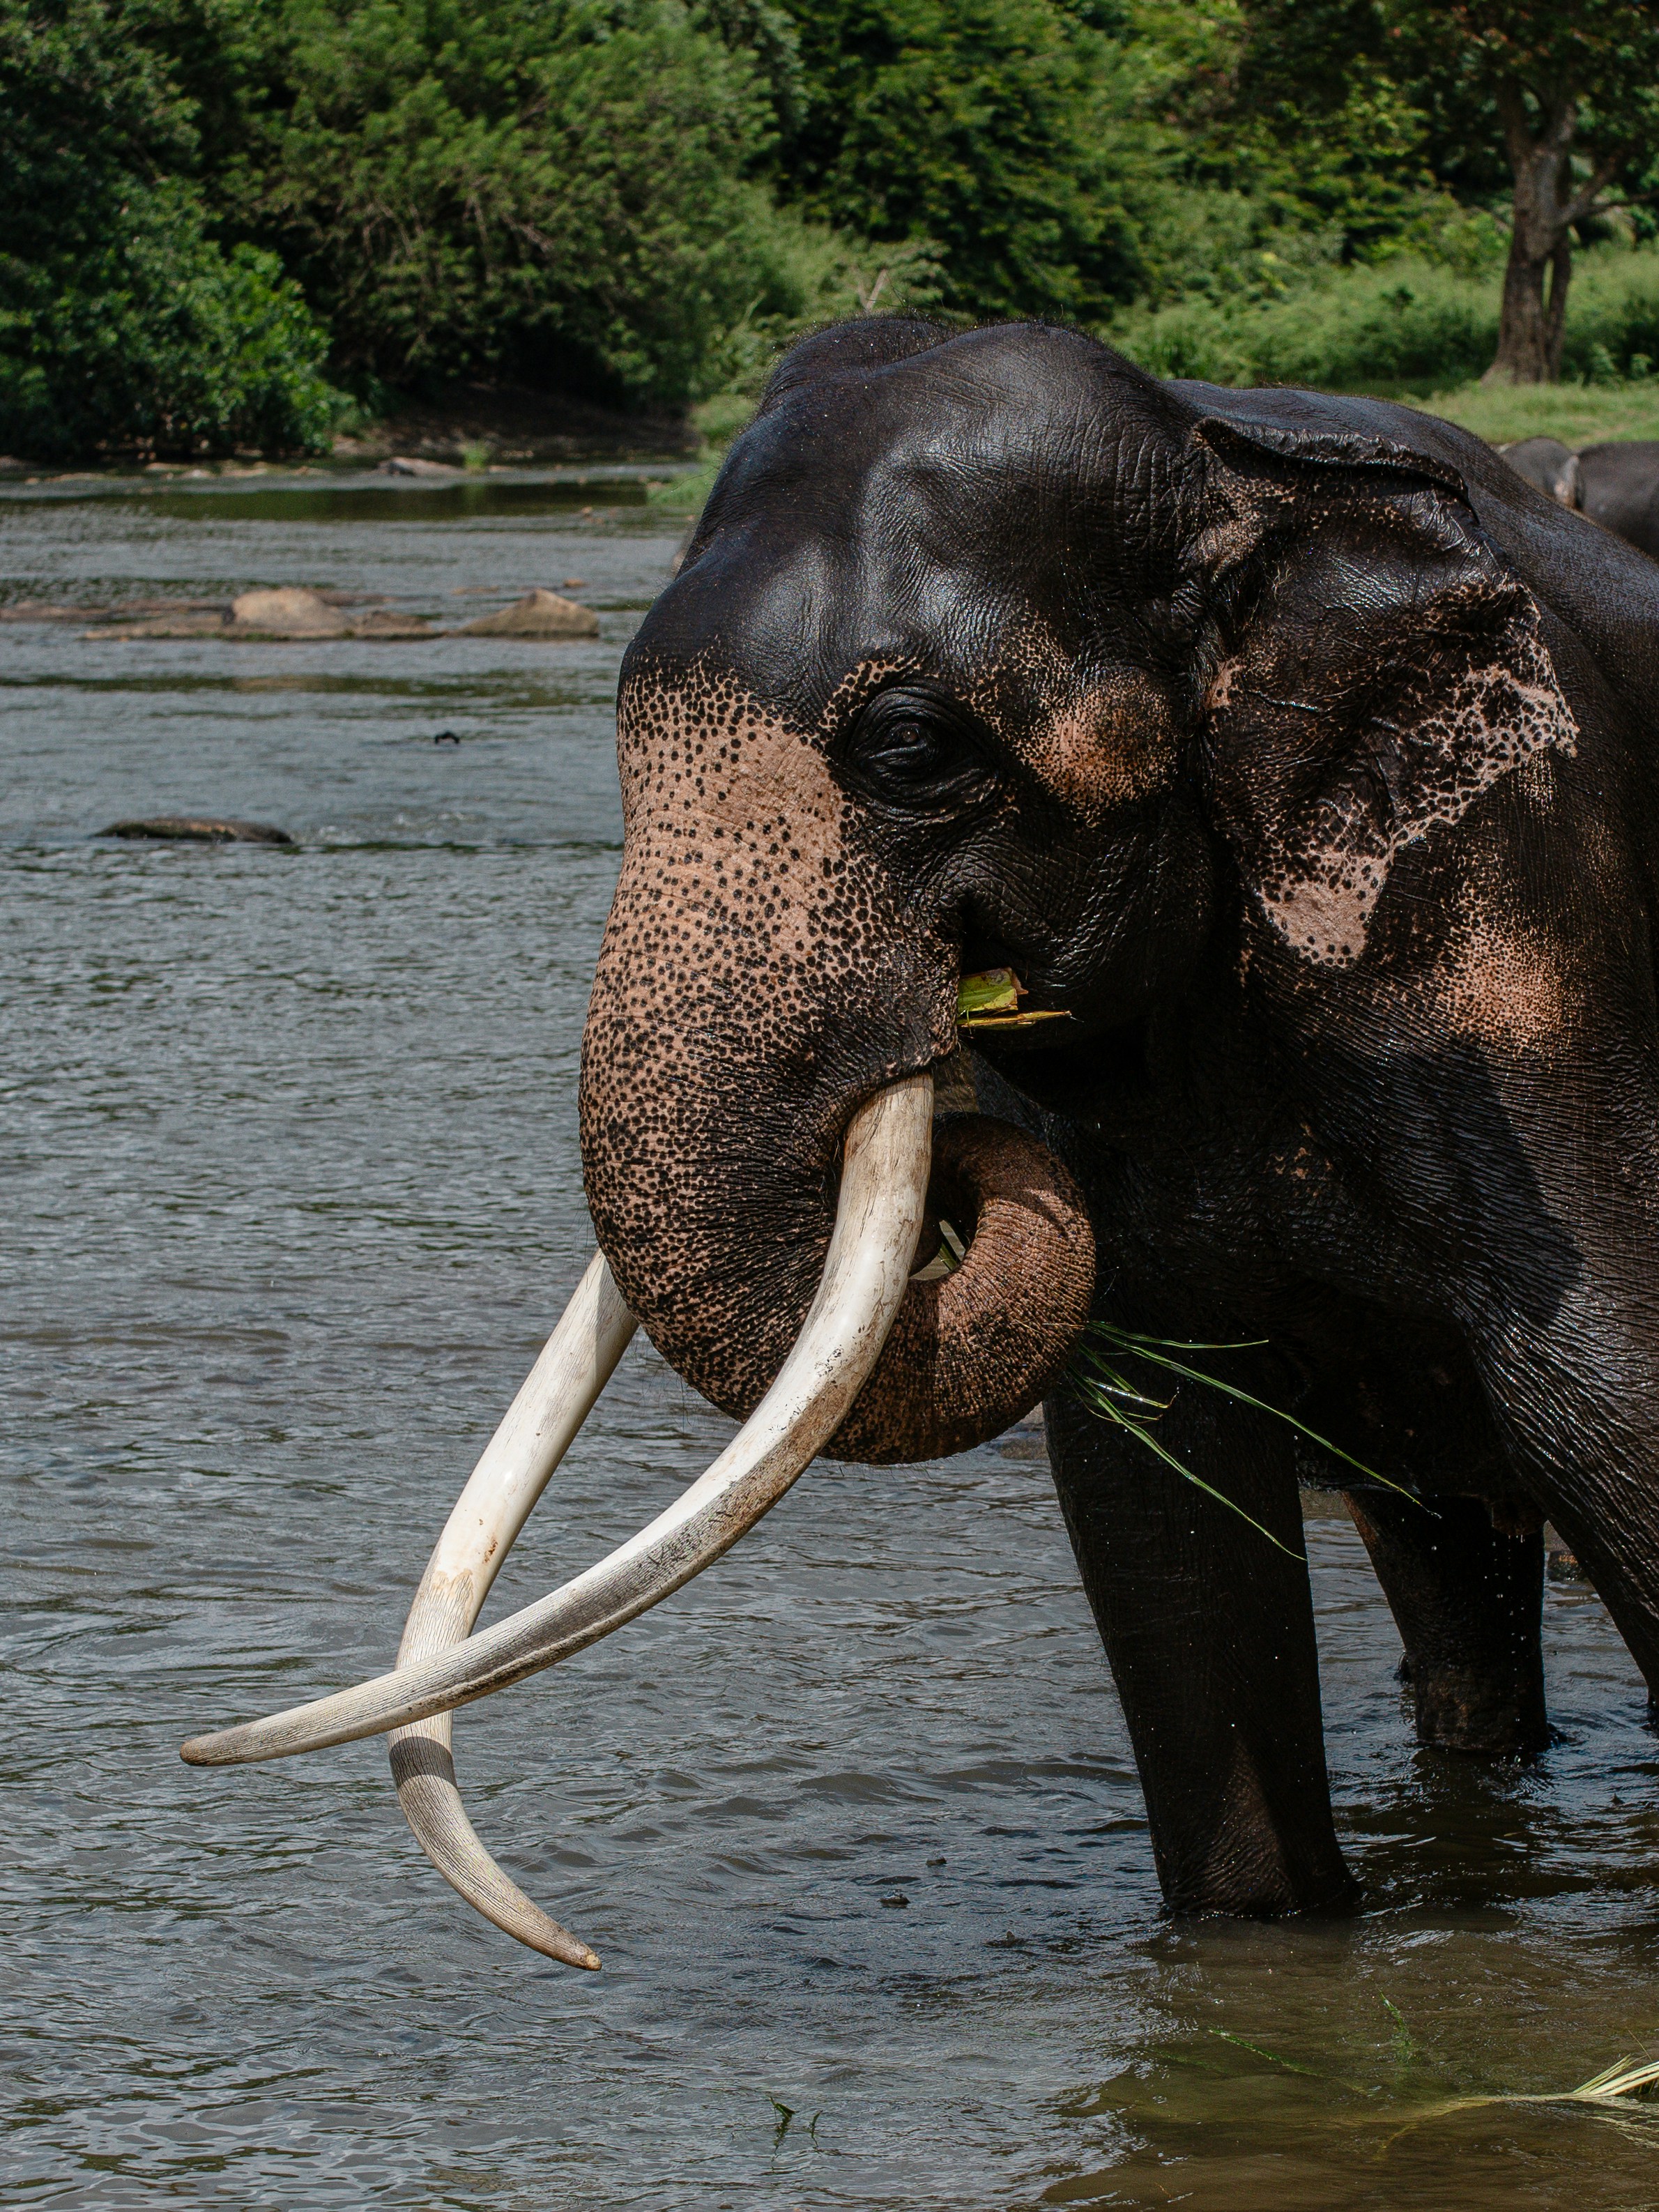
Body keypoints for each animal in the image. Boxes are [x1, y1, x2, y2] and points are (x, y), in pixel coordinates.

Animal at [186, 317, 1659, 1962]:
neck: (1224, 460)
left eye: (906, 745)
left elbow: (1612, 1412)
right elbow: (1159, 1507)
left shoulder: (1524, 941)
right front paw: (1261, 1956)